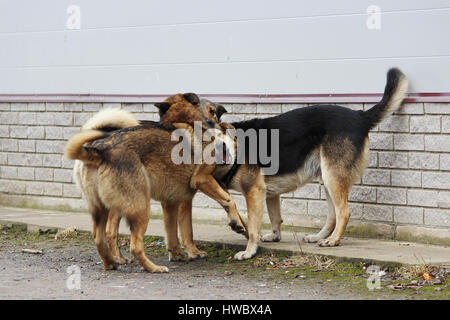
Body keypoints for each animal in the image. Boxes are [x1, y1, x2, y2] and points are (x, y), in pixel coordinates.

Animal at [65, 93, 251, 272]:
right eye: (213, 137)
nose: (219, 148)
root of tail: (99, 150)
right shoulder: (200, 182)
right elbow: (229, 202)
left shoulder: (173, 202)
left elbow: (174, 231)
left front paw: (177, 254)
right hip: (140, 208)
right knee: (133, 245)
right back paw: (152, 268)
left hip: (101, 209)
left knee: (100, 237)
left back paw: (111, 262)